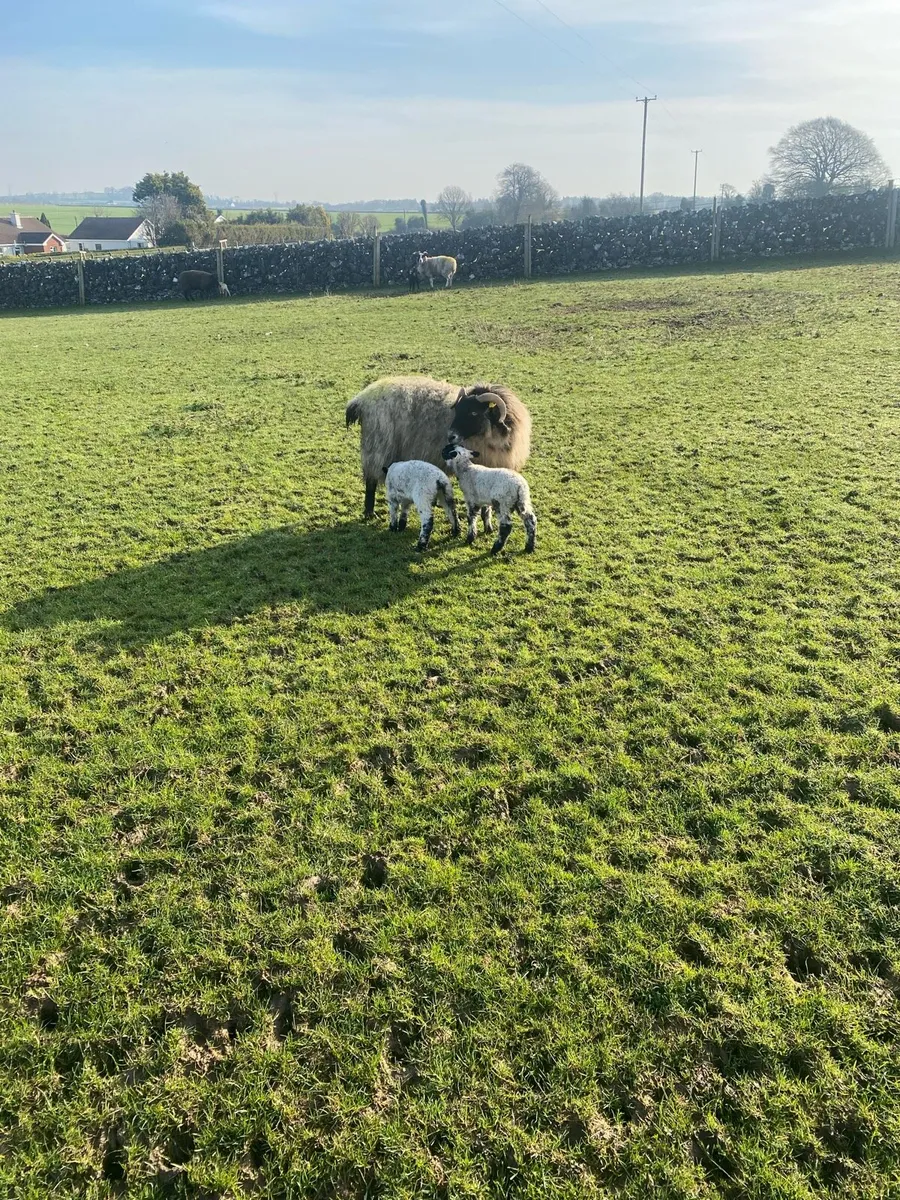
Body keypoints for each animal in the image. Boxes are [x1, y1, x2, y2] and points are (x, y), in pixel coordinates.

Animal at [345, 375, 531, 520]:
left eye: (473, 413)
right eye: (458, 410)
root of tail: (361, 399)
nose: (450, 436)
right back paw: (370, 513)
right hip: (379, 445)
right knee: (371, 480)